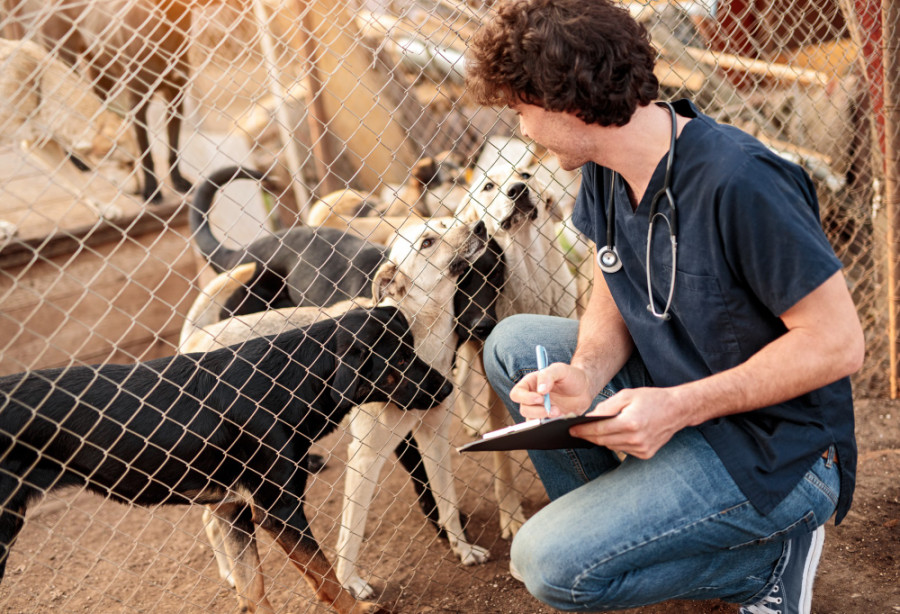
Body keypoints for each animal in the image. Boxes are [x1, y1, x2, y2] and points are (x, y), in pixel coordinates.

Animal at [0, 310, 450, 614]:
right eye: (400, 360)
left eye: (412, 350)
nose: (448, 386)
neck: (288, 380)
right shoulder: (278, 508)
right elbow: (324, 575)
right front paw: (357, 608)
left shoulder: (233, 508)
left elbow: (254, 589)